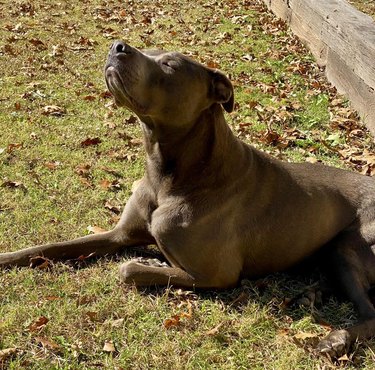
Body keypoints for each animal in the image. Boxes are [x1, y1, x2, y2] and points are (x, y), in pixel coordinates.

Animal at [0, 41, 375, 358]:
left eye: (170, 65)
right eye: (149, 49)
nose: (117, 46)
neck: (170, 175)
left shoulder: (218, 275)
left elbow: (128, 269)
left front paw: (149, 263)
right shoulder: (119, 233)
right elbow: (50, 247)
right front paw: (9, 256)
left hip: (350, 244)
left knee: (370, 311)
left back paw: (335, 339)